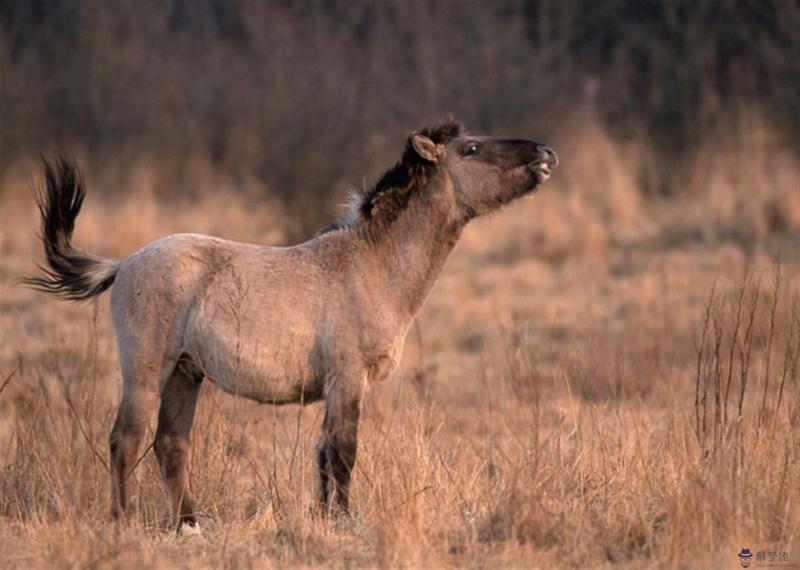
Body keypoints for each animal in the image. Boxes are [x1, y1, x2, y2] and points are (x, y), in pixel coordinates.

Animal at [25, 117, 560, 532]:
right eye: (471, 149)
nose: (545, 154)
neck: (370, 265)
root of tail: (124, 263)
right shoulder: (348, 380)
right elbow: (343, 452)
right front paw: (344, 522)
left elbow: (323, 455)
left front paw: (325, 518)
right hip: (146, 371)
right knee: (126, 439)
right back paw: (123, 522)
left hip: (183, 373)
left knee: (171, 444)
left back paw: (189, 526)